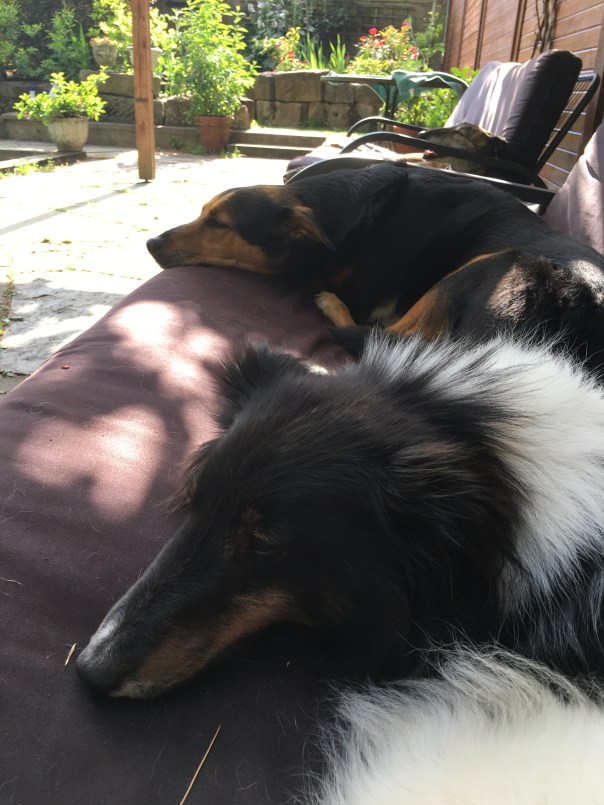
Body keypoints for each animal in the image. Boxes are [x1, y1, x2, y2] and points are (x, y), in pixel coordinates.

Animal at [146, 163, 604, 376]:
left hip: (498, 263)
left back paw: (331, 306)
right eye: (203, 212)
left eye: (219, 224)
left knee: (387, 339)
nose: (151, 244)